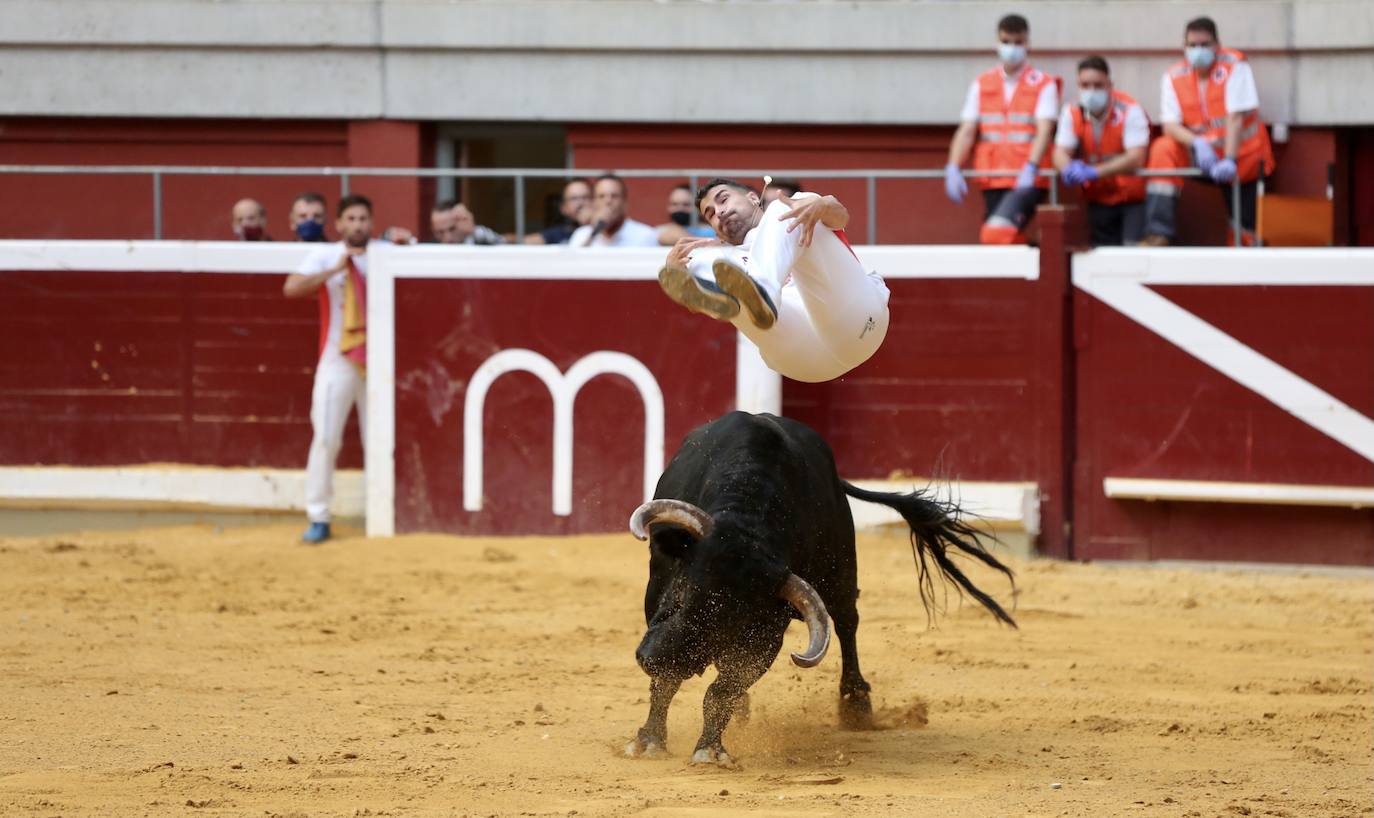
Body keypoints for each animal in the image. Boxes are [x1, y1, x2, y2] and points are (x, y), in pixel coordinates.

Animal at [629, 415, 1016, 769]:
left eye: (730, 626)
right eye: (681, 591)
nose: (653, 659)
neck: (748, 517)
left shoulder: (767, 636)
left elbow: (721, 691)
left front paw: (710, 749)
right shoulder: (657, 595)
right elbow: (670, 685)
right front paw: (649, 740)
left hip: (841, 574)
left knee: (847, 623)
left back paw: (856, 705)